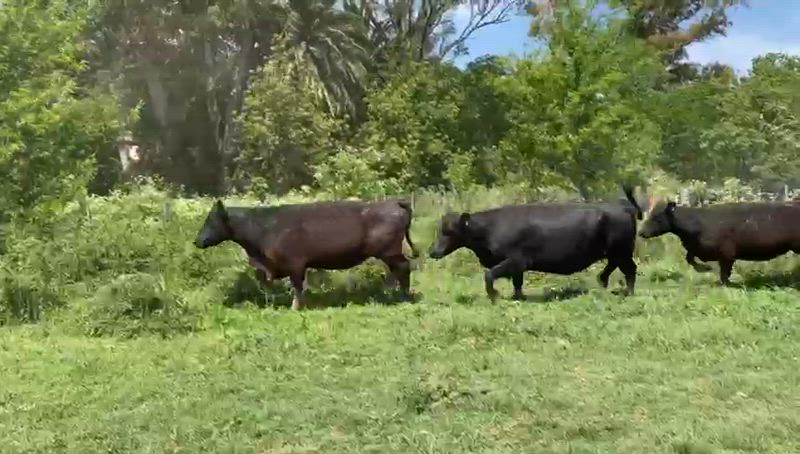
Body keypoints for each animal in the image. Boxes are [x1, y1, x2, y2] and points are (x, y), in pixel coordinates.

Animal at [193, 199, 419, 310]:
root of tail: (394, 202)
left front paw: (296, 307)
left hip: (390, 252)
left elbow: (297, 286)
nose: (197, 241)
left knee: (403, 267)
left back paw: (404, 296)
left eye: (211, 220)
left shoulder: (295, 264)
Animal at [428, 186, 643, 301]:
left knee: (630, 269)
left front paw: (494, 295)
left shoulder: (516, 260)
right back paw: (603, 281)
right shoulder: (518, 267)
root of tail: (623, 206)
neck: (490, 228)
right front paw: (518, 297)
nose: (432, 251)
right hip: (615, 252)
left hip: (622, 251)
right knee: (613, 267)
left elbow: (489, 275)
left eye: (449, 231)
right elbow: (517, 283)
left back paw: (628, 292)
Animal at [638, 197, 800, 286]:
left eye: (657, 218)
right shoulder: (697, 249)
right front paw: (705, 268)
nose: (640, 232)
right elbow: (689, 258)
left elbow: (724, 274)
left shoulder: (727, 254)